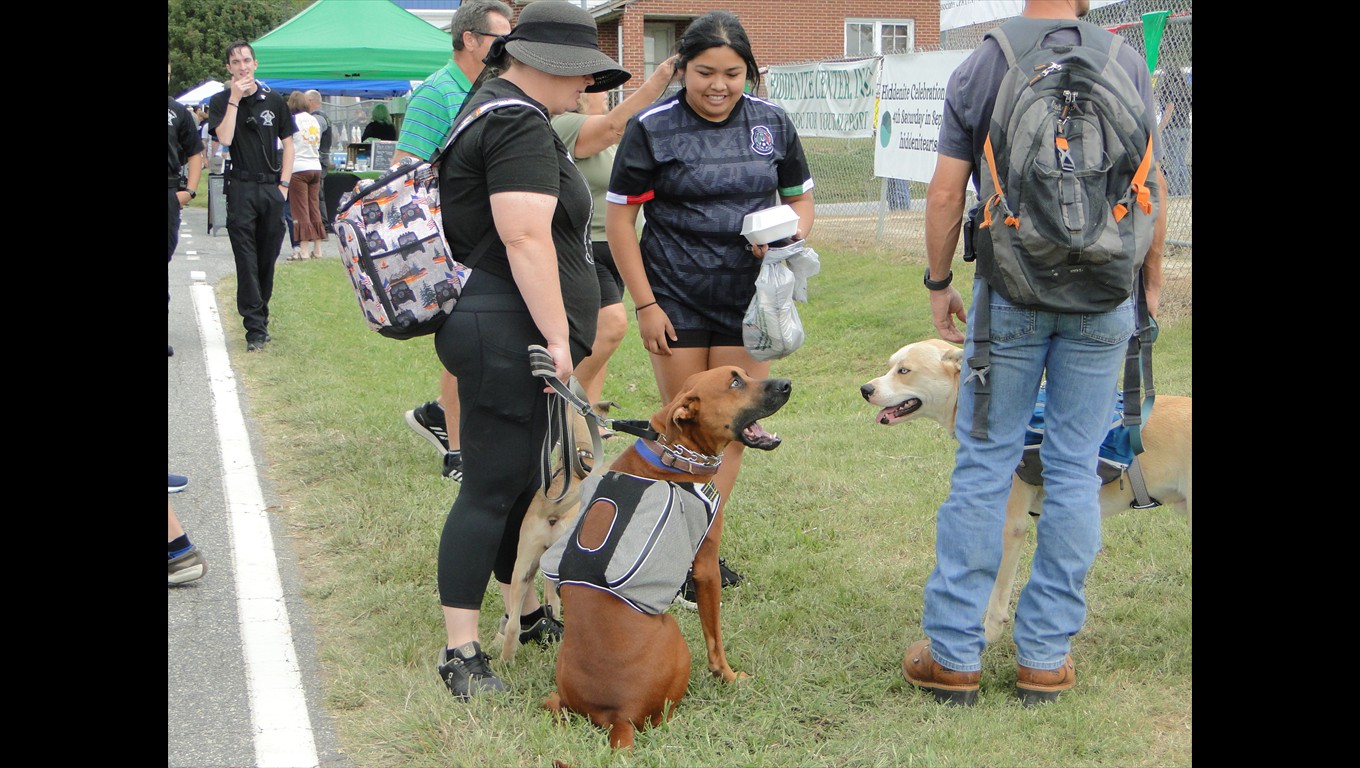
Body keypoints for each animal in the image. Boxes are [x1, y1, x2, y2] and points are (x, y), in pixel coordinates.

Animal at [541, 364, 794, 750]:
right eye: (735, 381)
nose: (787, 384)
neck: (676, 453)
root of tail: (618, 716)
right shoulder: (706, 568)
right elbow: (714, 639)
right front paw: (729, 677)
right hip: (673, 633)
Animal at [859, 338, 1191, 644]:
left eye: (904, 371)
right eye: (890, 366)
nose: (865, 389)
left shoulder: (1011, 527)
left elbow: (997, 592)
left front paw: (987, 637)